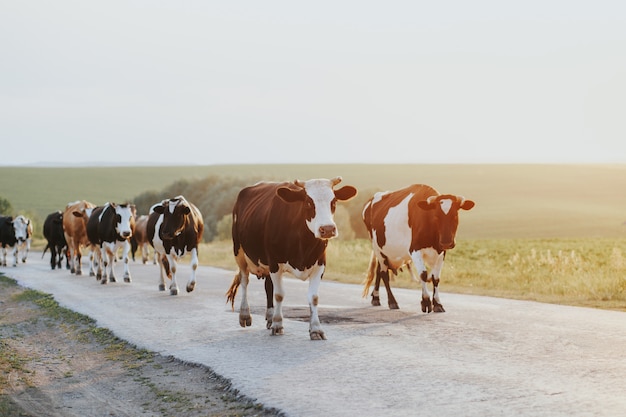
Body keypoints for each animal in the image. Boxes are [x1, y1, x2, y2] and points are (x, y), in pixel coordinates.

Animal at [225, 176, 356, 338]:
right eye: (308, 202)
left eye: (334, 202)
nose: (327, 229)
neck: (303, 245)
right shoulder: (274, 262)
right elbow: (279, 294)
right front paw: (278, 324)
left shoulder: (320, 264)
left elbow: (314, 297)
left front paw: (316, 328)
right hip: (239, 252)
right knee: (244, 280)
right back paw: (245, 315)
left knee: (268, 286)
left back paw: (269, 317)